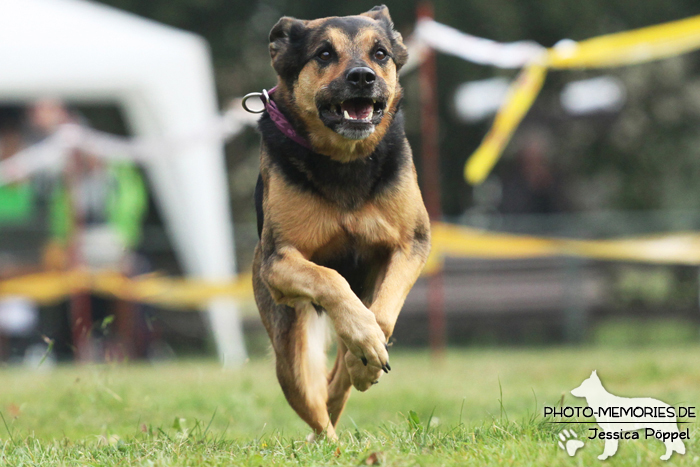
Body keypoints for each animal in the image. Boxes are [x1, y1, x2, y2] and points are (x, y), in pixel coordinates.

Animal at [249, 5, 430, 440]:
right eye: (324, 54)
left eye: (380, 53)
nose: (362, 76)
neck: (345, 159)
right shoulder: (278, 262)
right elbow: (330, 279)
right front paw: (363, 344)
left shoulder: (411, 244)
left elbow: (382, 314)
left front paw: (364, 357)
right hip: (290, 353)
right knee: (315, 406)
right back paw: (329, 441)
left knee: (334, 388)